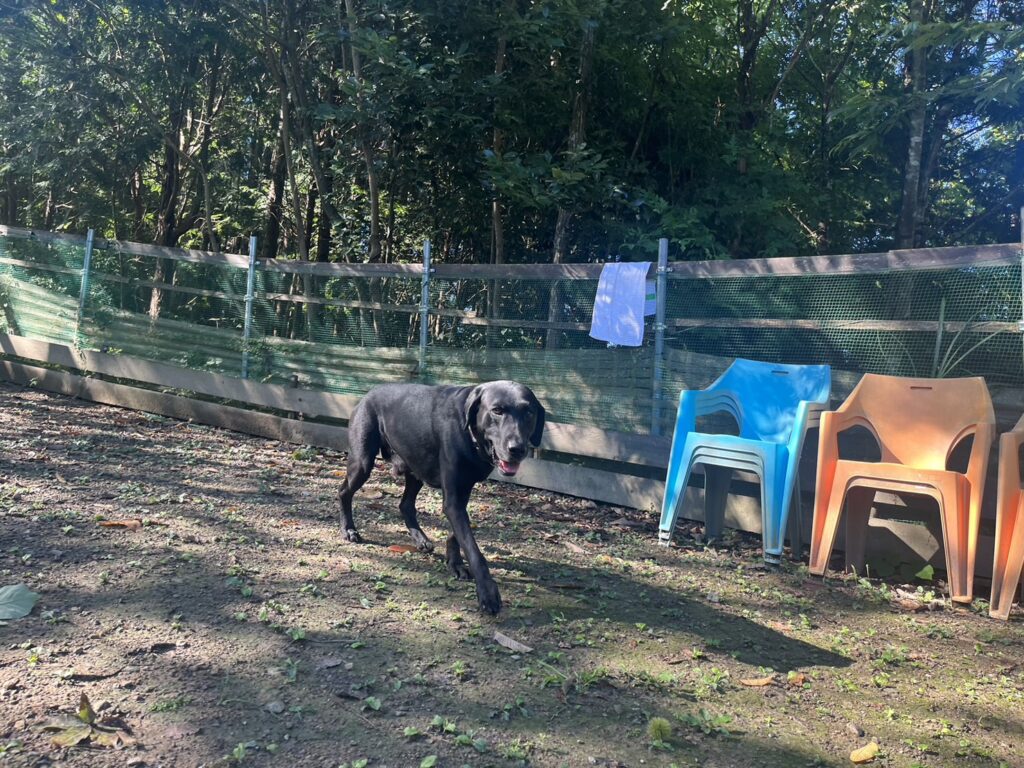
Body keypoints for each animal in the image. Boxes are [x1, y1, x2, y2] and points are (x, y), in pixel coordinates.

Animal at [338, 380, 545, 615]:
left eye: (529, 412)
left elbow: (458, 534)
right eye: (497, 410)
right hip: (362, 462)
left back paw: (420, 539)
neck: (470, 435)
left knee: (405, 505)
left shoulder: (462, 491)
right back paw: (348, 530)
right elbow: (473, 549)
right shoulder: (454, 499)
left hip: (415, 468)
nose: (517, 448)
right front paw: (487, 592)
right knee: (344, 492)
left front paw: (455, 563)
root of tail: (368, 394)